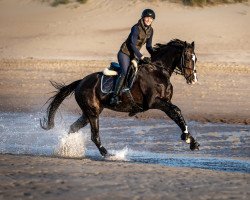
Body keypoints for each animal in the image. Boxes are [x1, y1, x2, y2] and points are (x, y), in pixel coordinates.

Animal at [40, 38, 200, 156]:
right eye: (187, 58)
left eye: (195, 59)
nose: (193, 79)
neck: (158, 70)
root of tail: (80, 82)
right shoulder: (155, 102)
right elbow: (177, 111)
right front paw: (187, 138)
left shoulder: (165, 102)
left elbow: (177, 115)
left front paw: (191, 140)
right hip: (92, 112)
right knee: (94, 135)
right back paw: (108, 154)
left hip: (88, 113)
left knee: (73, 128)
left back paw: (65, 149)